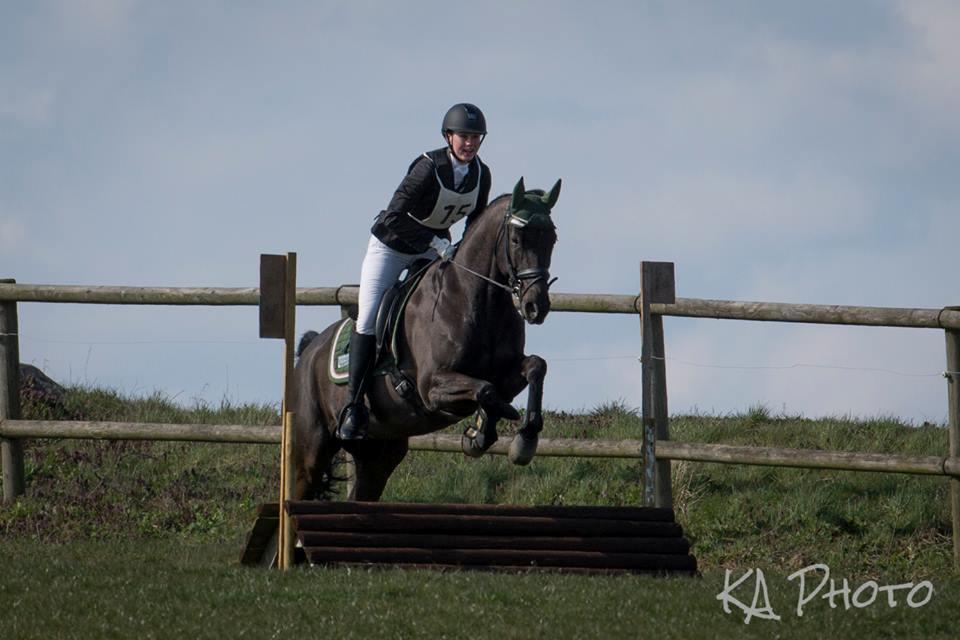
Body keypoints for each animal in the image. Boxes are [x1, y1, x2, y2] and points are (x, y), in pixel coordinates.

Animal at [296, 178, 560, 502]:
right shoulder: (431, 387)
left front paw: (521, 439)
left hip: (379, 454)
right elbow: (486, 390)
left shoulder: (506, 373)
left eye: (552, 239)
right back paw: (351, 421)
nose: (536, 306)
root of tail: (310, 351)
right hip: (311, 451)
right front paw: (482, 433)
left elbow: (534, 367)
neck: (478, 302)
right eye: (516, 240)